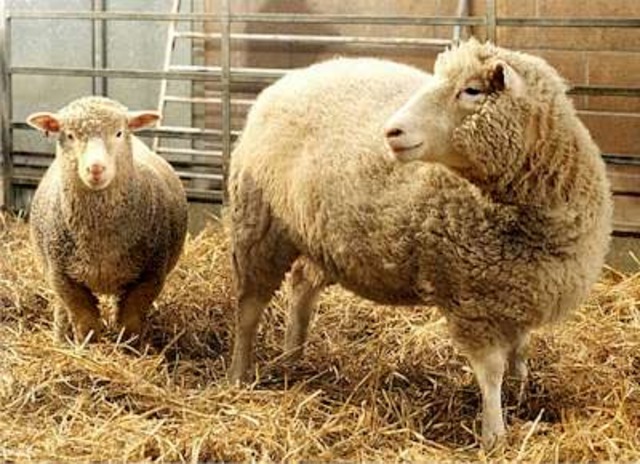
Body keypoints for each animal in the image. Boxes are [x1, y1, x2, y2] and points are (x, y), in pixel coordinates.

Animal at [27, 96, 188, 344]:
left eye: (119, 133)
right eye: (70, 135)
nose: (96, 168)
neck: (100, 240)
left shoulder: (150, 276)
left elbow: (131, 321)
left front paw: (129, 348)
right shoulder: (63, 277)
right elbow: (85, 322)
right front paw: (88, 347)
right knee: (61, 308)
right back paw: (60, 339)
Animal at [227, 39, 612, 448]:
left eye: (472, 90)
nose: (391, 131)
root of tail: (285, 81)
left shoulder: (519, 290)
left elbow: (521, 351)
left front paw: (522, 395)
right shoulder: (471, 299)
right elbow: (491, 371)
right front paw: (494, 434)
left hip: (319, 237)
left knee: (301, 287)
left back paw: (293, 356)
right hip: (259, 228)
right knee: (249, 309)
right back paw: (239, 374)